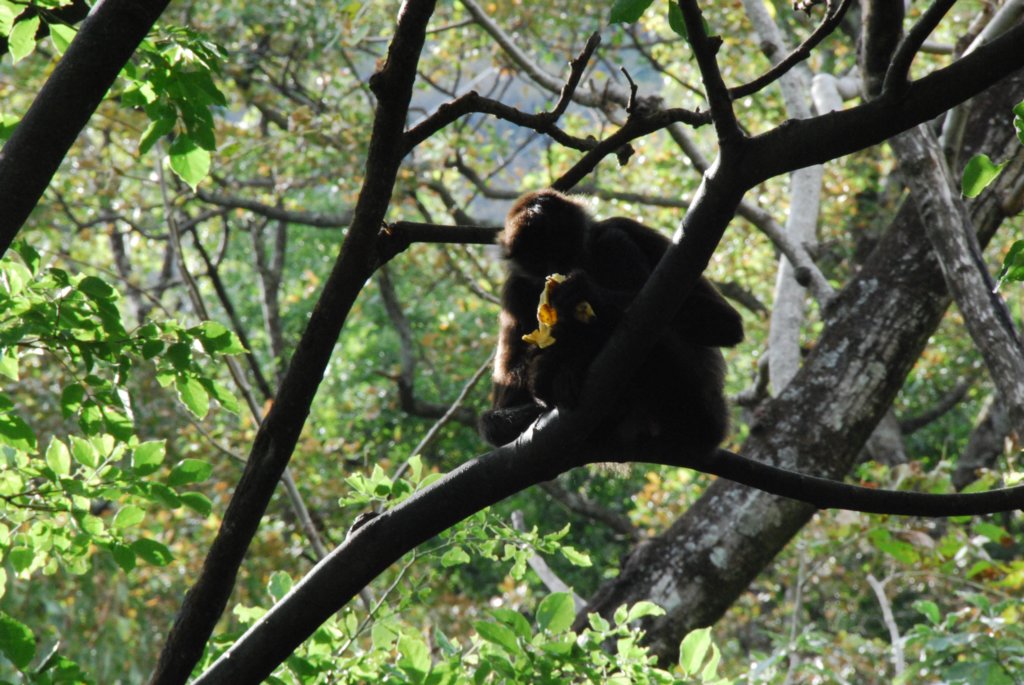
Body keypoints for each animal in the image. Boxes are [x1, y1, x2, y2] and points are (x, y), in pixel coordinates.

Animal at [479, 189, 744, 460]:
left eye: (561, 249)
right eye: (537, 260)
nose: (554, 272)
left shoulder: (622, 224)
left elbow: (728, 324)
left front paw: (583, 301)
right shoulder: (516, 287)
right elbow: (503, 402)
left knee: (613, 241)